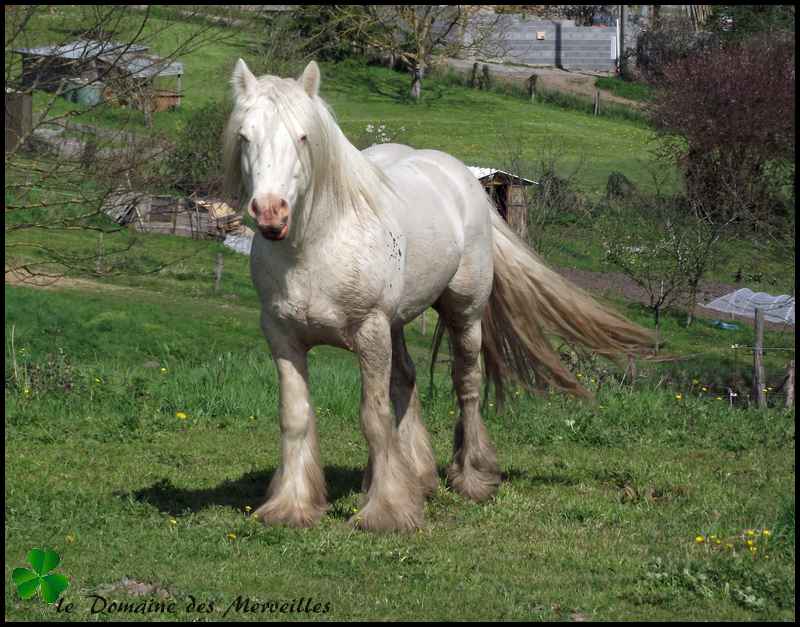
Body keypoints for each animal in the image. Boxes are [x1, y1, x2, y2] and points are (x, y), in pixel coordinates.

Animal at [222, 59, 652, 532]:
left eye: (303, 137)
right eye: (245, 137)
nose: (270, 212)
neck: (315, 245)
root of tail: (465, 179)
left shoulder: (370, 331)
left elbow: (374, 416)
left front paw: (386, 511)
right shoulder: (282, 336)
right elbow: (296, 416)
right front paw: (293, 505)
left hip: (464, 314)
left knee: (466, 384)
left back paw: (471, 476)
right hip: (396, 324)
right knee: (406, 381)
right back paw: (416, 474)